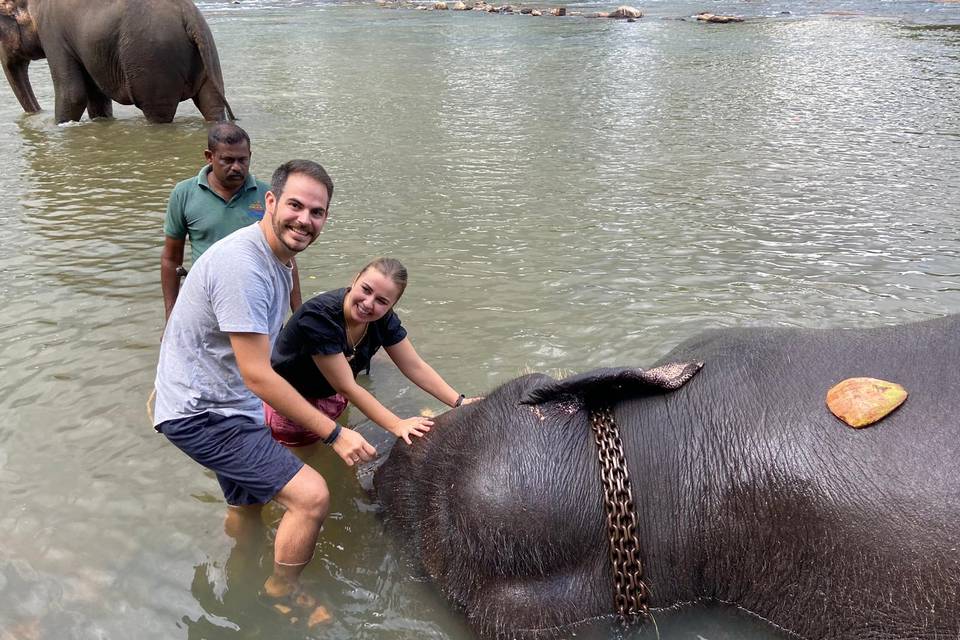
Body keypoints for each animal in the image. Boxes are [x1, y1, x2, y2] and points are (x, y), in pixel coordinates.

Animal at [0, 0, 234, 123]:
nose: (38, 114)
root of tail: (188, 16)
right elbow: (96, 97)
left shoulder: (53, 33)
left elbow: (73, 94)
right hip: (207, 53)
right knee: (211, 104)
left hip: (152, 61)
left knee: (157, 112)